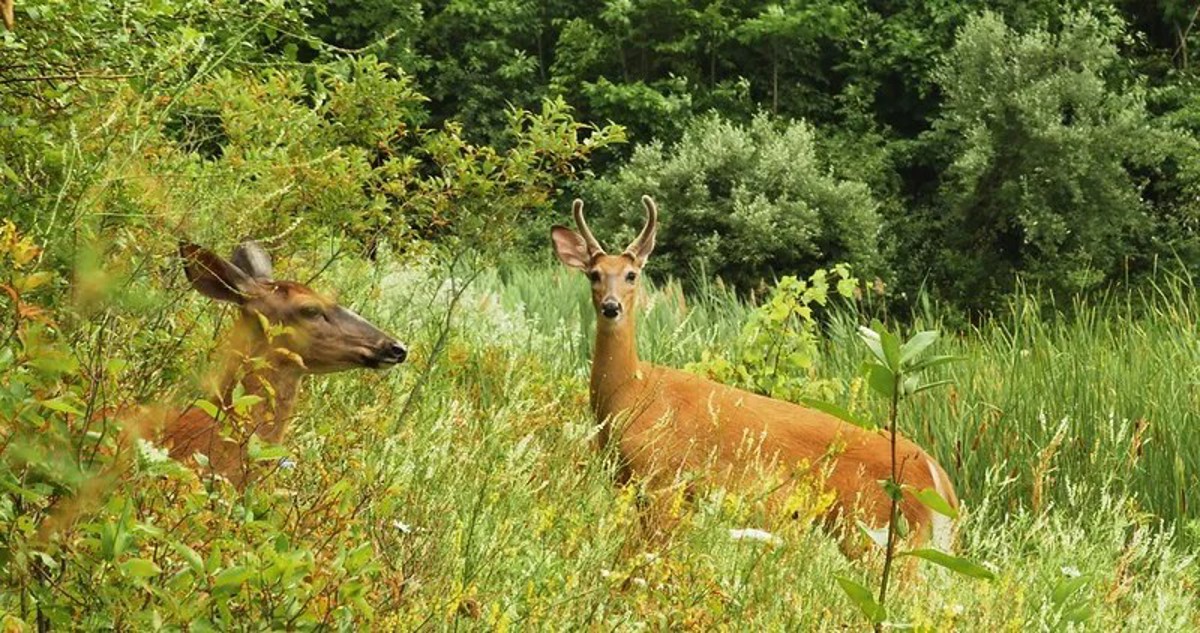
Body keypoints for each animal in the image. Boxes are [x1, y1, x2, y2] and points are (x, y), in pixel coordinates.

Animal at [550, 196, 957, 554]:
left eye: (632, 275)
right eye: (594, 275)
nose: (611, 306)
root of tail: (937, 475)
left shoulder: (665, 479)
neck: (632, 392)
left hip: (878, 529)